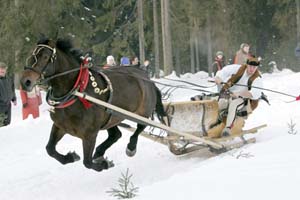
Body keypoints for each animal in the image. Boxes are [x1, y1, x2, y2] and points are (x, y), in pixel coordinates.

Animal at [20, 38, 166, 172]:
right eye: (32, 54)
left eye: (45, 56)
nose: (25, 82)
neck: (77, 92)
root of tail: (147, 78)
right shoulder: (60, 126)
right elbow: (49, 149)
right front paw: (70, 157)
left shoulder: (90, 134)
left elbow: (87, 163)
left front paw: (105, 164)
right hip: (111, 117)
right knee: (116, 134)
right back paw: (100, 152)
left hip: (143, 112)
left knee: (141, 126)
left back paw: (131, 147)